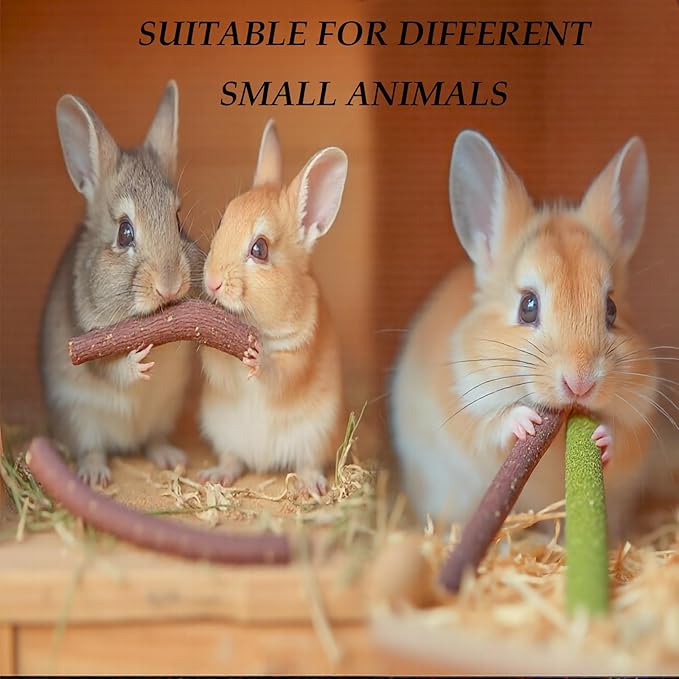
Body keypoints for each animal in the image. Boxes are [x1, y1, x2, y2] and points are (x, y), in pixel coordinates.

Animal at [40, 80, 203, 487]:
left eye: (178, 220)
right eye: (124, 232)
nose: (169, 284)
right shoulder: (85, 339)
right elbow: (109, 368)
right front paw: (139, 363)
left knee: (153, 440)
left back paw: (170, 456)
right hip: (79, 419)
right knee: (92, 448)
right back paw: (94, 474)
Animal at [199, 120, 347, 494]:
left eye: (260, 249)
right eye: (222, 221)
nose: (212, 281)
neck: (259, 327)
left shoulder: (299, 353)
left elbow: (278, 375)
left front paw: (256, 358)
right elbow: (217, 366)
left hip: (316, 435)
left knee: (307, 463)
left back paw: (312, 486)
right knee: (232, 459)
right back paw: (216, 475)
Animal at [390, 129, 659, 541]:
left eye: (611, 309)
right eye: (527, 306)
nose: (580, 383)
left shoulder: (640, 418)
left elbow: (624, 438)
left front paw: (601, 438)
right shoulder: (464, 410)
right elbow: (490, 428)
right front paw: (526, 422)